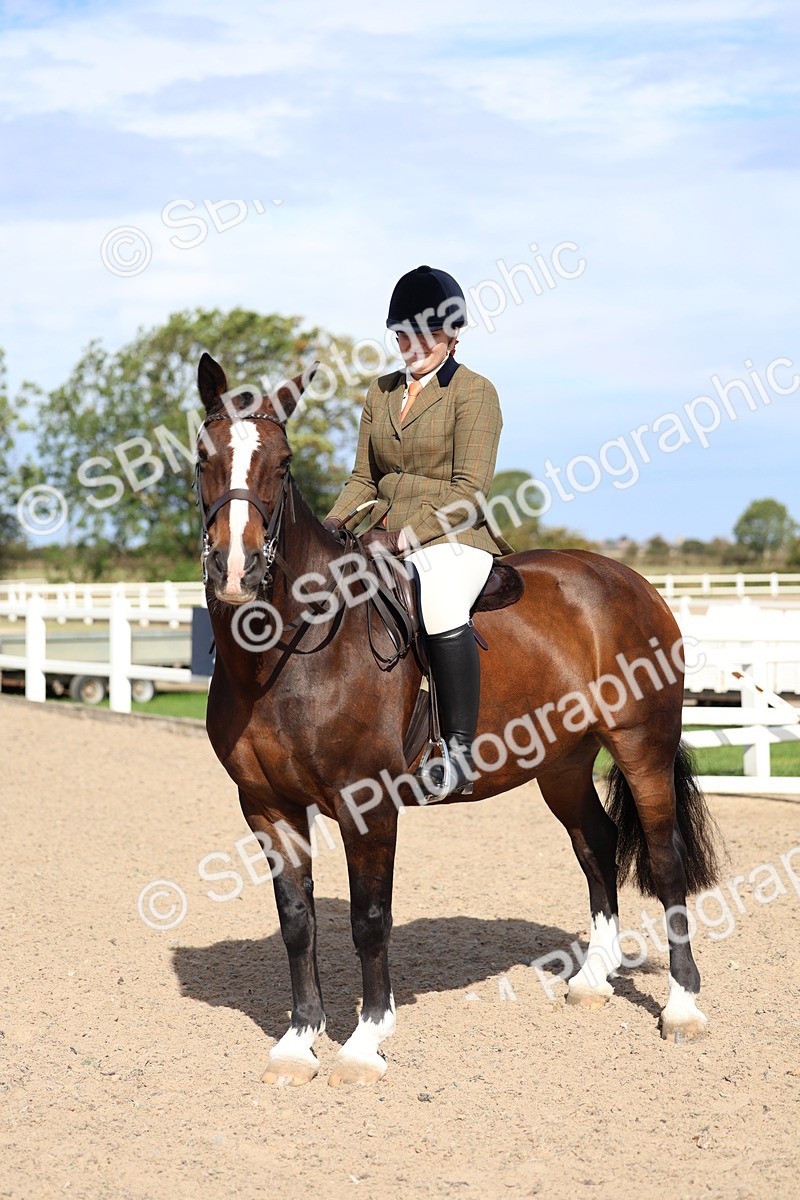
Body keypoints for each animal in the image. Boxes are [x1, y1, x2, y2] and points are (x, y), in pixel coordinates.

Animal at [195, 352, 721, 1087]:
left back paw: (683, 1007)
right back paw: (592, 980)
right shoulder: (267, 806)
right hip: (561, 764)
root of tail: (631, 582)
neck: (292, 651)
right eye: (202, 458)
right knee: (596, 845)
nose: (236, 571)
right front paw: (299, 1042)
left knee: (665, 860)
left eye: (284, 462)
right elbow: (296, 921)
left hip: (642, 746)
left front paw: (364, 1042)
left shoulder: (368, 805)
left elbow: (370, 919)